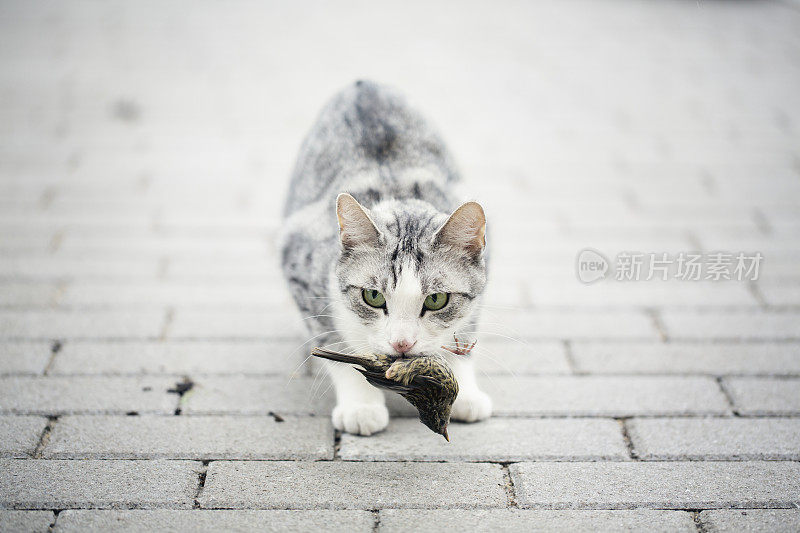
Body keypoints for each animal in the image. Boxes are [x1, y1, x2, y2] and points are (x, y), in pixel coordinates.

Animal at [284, 80, 490, 436]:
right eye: (372, 296)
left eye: (436, 299)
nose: (402, 344)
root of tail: (363, 82)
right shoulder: (299, 260)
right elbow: (334, 342)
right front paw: (361, 407)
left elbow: (462, 332)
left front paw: (465, 392)